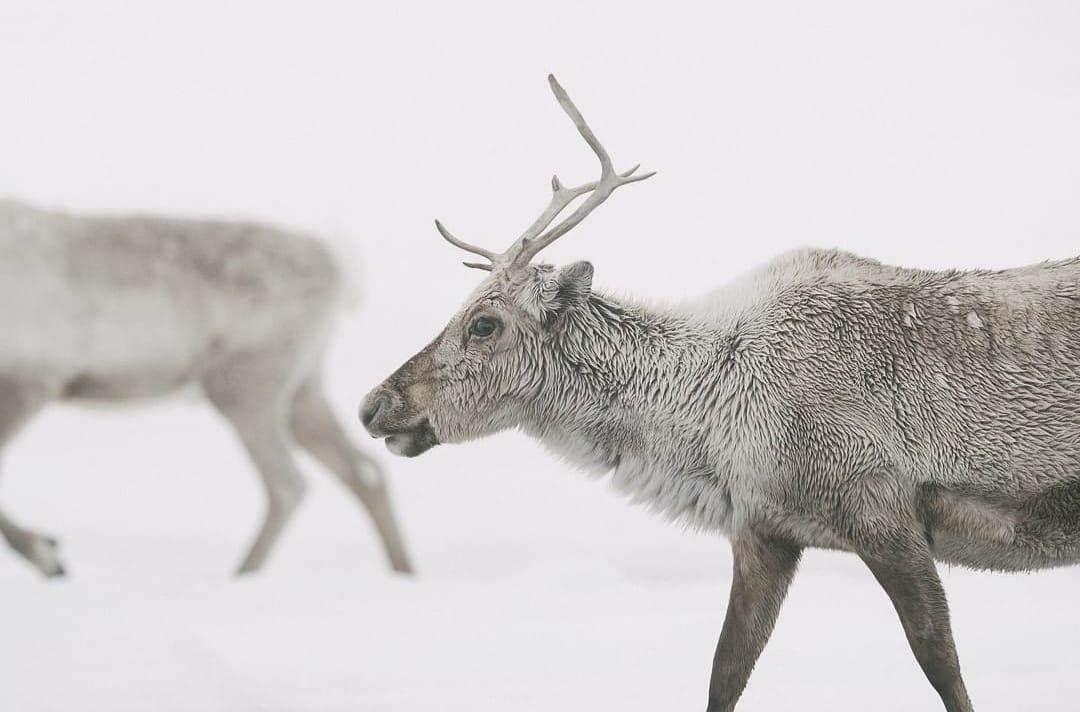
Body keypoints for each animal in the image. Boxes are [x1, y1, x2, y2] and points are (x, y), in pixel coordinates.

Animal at [0, 198, 413, 577]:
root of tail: (339, 267)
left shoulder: (33, 381)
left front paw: (45, 554)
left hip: (246, 386)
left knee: (288, 484)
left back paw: (242, 575)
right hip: (301, 391)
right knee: (364, 472)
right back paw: (404, 571)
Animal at [359, 74, 1080, 712]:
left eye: (483, 324)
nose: (374, 404)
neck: (709, 427)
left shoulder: (883, 511)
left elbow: (942, 665)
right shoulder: (765, 533)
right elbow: (725, 674)